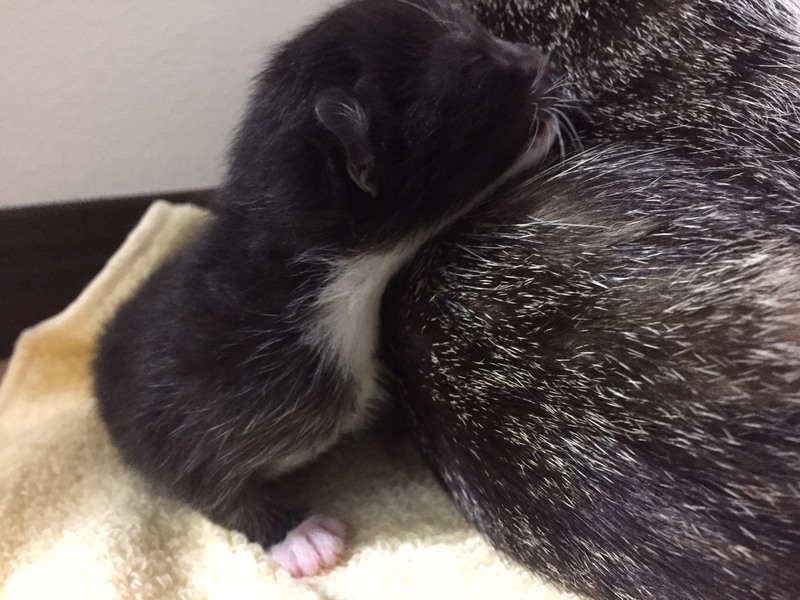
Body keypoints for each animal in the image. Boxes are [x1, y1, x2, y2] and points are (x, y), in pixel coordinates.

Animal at [93, 0, 558, 578]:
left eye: (481, 32)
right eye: (476, 72)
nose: (536, 57)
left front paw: (412, 437)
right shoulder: (195, 402)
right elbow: (203, 481)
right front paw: (295, 535)